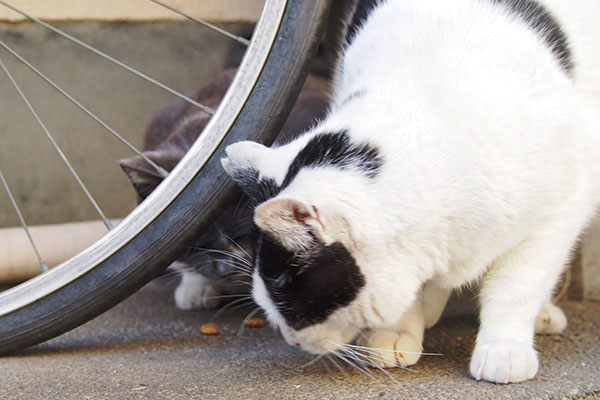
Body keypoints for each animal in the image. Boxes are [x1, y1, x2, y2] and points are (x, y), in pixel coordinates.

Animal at [221, 0, 600, 384]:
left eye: (295, 304)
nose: (289, 339)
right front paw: (397, 332)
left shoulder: (562, 208)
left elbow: (517, 285)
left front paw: (504, 348)